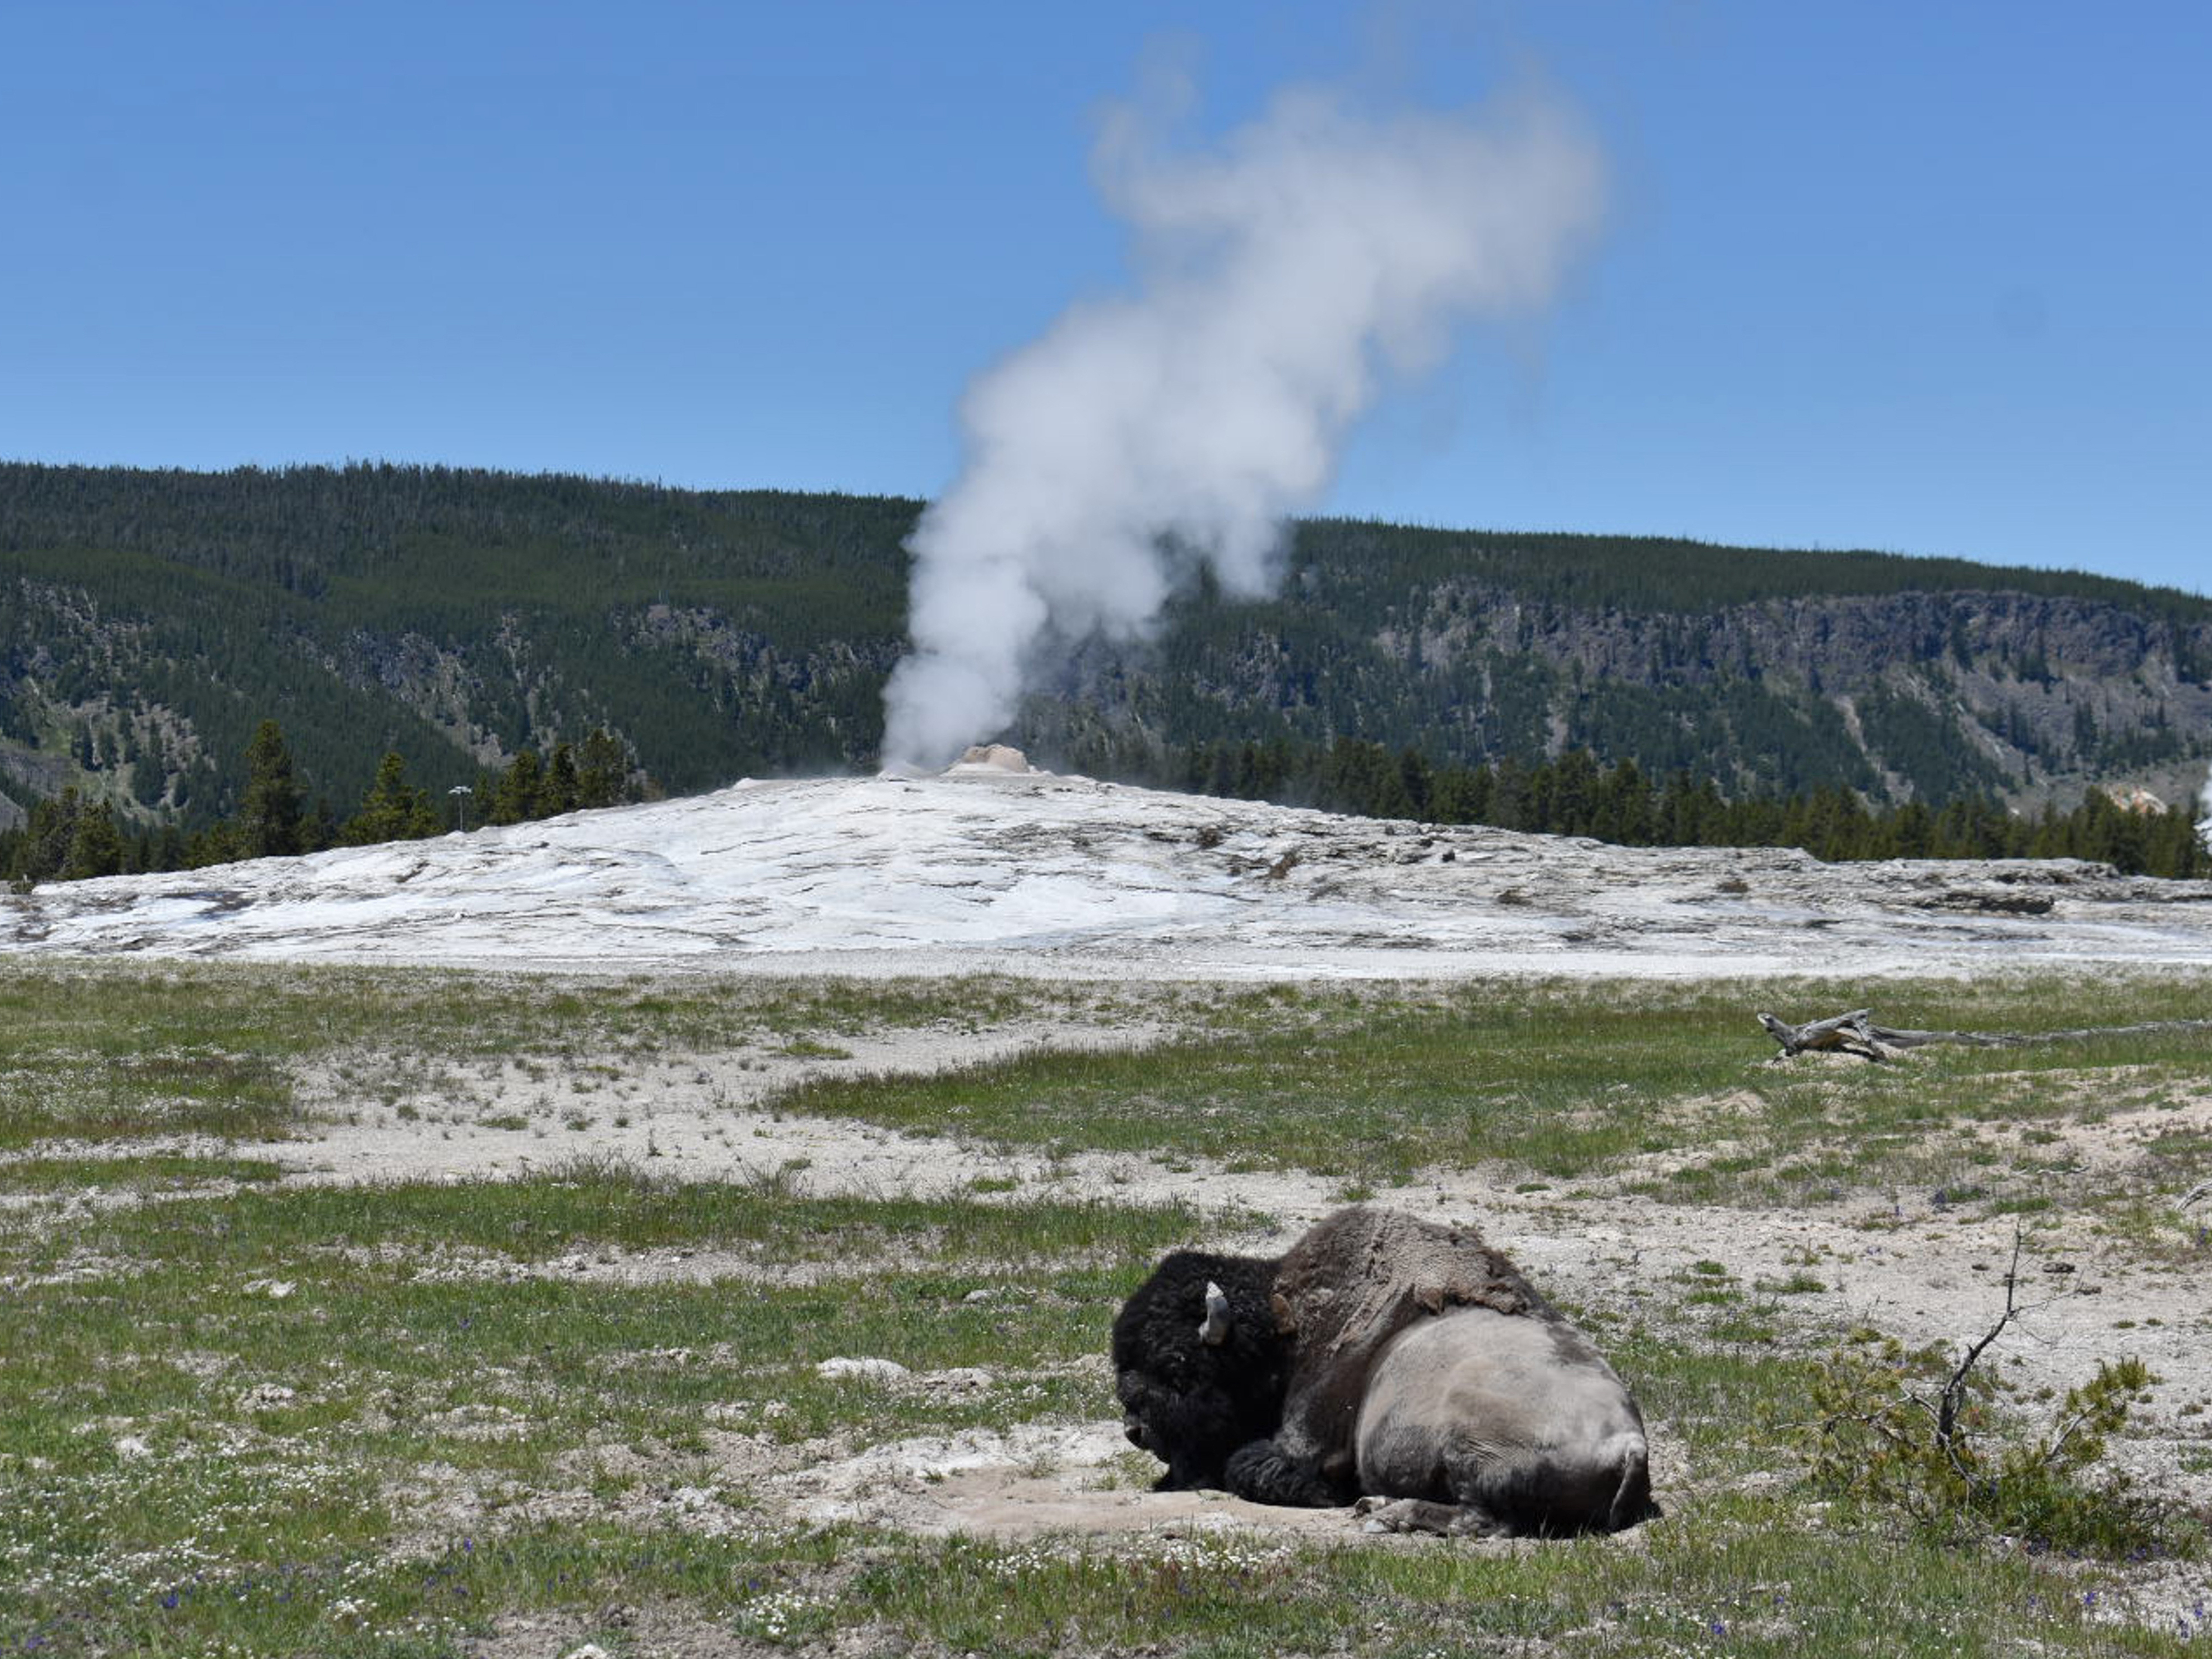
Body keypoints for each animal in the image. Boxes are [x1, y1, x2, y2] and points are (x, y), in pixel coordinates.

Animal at [1111, 1206, 1654, 1537]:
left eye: (1178, 1368)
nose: (1137, 1430)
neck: (1285, 1329)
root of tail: (1631, 1445)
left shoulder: (1305, 1443)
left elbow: (1251, 1466)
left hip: (1473, 1450)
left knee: (1482, 1520)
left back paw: (1383, 1513)